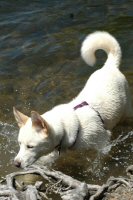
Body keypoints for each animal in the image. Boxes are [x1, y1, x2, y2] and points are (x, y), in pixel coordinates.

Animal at [13, 31, 132, 168]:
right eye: (19, 144)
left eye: (30, 146)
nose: (16, 163)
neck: (65, 128)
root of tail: (109, 66)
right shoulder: (55, 152)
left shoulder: (103, 142)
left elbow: (100, 159)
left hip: (127, 112)